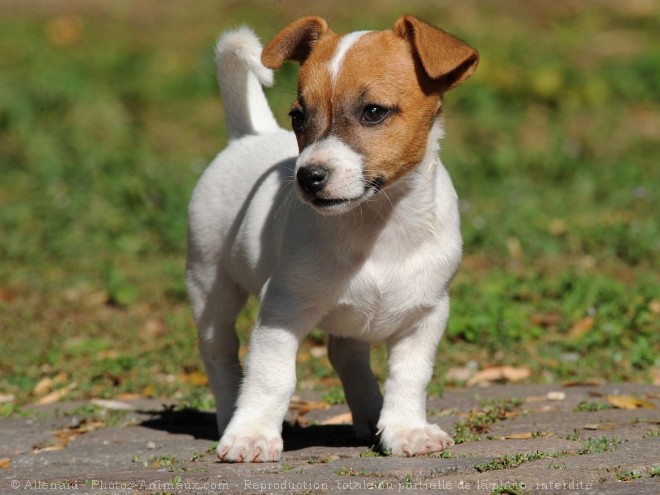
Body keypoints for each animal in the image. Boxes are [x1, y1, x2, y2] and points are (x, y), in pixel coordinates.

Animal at [187, 16, 480, 464]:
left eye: (373, 112)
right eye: (297, 117)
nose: (308, 176)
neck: (376, 227)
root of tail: (248, 136)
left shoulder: (426, 315)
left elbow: (410, 377)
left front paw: (405, 429)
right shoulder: (282, 309)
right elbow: (272, 376)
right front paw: (252, 435)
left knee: (347, 357)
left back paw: (370, 415)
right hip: (210, 287)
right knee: (219, 353)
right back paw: (228, 416)